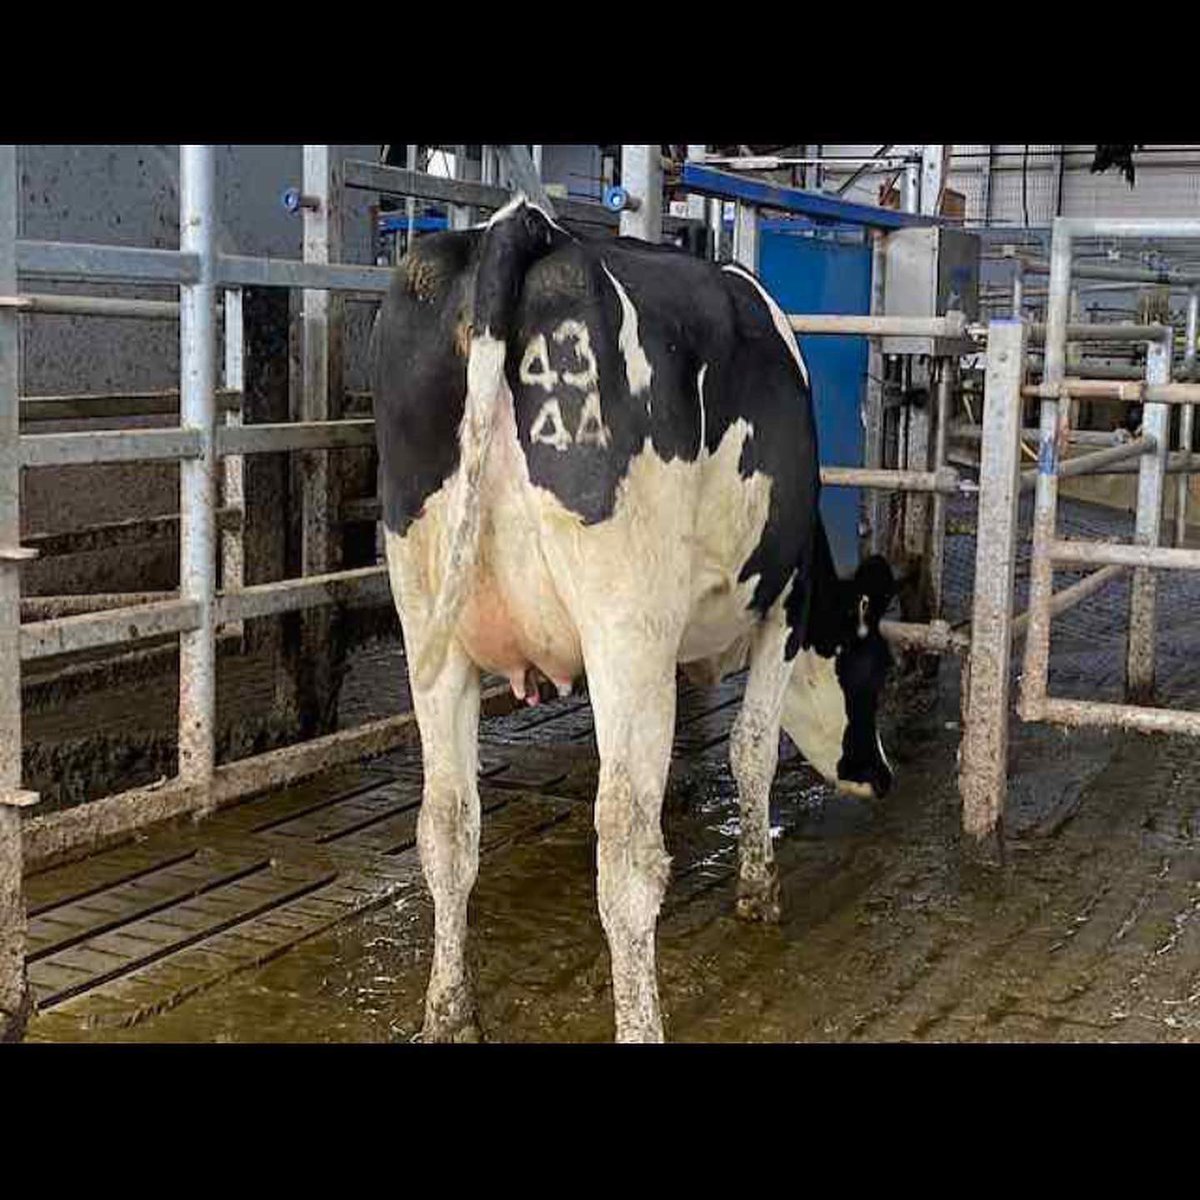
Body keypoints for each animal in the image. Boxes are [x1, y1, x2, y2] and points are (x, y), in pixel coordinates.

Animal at [370, 195, 897, 1043]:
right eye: (874, 667)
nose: (880, 776)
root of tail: (523, 228)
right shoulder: (782, 604)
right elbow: (751, 747)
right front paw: (759, 889)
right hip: (626, 626)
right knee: (624, 849)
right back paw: (640, 1022)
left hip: (428, 618)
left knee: (447, 823)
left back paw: (449, 1013)